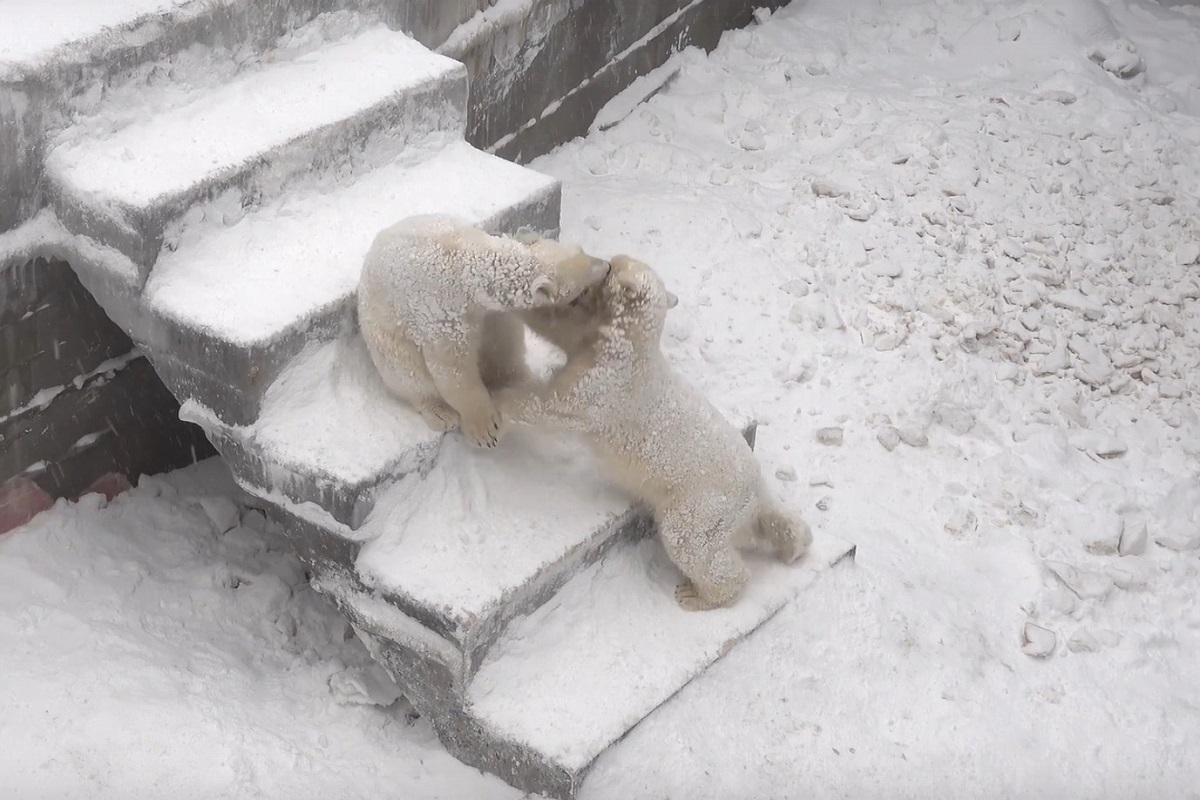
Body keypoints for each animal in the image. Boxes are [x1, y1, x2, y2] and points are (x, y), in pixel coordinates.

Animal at [352, 212, 600, 448]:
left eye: (582, 251)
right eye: (581, 288)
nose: (605, 266)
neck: (466, 261)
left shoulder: (490, 314)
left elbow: (502, 343)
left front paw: (514, 381)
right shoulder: (444, 311)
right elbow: (452, 368)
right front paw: (486, 431)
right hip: (383, 327)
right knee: (405, 370)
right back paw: (439, 413)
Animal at [501, 256, 811, 614]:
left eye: (612, 267)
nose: (605, 262)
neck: (635, 347)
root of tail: (758, 493)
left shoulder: (609, 381)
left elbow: (558, 406)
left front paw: (496, 404)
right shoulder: (592, 343)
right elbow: (559, 327)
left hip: (702, 504)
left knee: (691, 542)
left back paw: (696, 595)